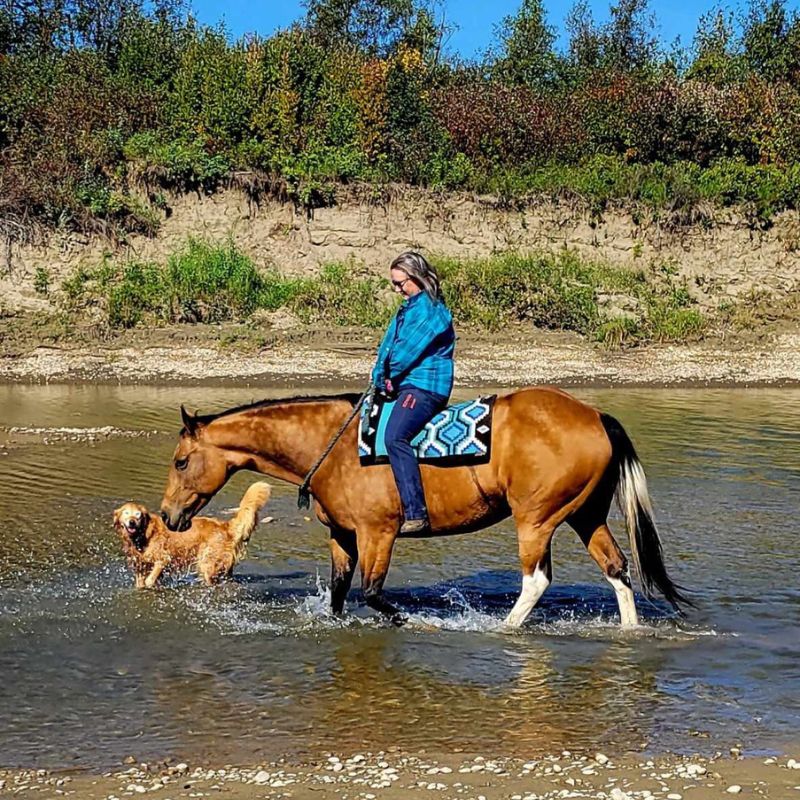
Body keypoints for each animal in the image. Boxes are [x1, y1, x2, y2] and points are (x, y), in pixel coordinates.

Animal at [113, 482, 272, 588]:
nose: (132, 522)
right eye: (126, 513)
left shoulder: (164, 559)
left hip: (207, 562)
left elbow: (150, 580)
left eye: (138, 515)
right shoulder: (140, 565)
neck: (144, 535)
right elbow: (141, 583)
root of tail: (225, 526)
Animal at [161, 388, 688, 624]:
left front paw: (408, 621)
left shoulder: (378, 533)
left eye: (181, 461)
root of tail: (595, 416)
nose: (168, 516)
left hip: (536, 519)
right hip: (584, 515)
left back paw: (503, 628)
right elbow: (339, 592)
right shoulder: (343, 536)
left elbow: (374, 593)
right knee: (617, 568)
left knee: (537, 580)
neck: (331, 447)